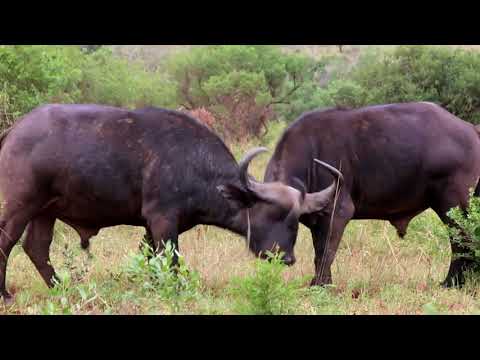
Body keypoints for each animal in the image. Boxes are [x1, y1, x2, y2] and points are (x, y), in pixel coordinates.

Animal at [0, 104, 342, 300]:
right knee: (7, 243)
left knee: (36, 247)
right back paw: (6, 295)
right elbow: (171, 259)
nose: (286, 258)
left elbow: (152, 259)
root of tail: (14, 130)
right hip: (21, 205)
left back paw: (62, 288)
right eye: (272, 214)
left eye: (296, 221)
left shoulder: (150, 227)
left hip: (45, 211)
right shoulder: (163, 220)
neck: (194, 164)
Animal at [244, 102, 480, 288]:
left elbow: (324, 252)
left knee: (462, 242)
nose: (271, 253)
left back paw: (452, 283)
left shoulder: (338, 212)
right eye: (258, 221)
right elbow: (319, 250)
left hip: (455, 206)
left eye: (289, 222)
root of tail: (471, 129)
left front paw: (321, 285)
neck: (310, 154)